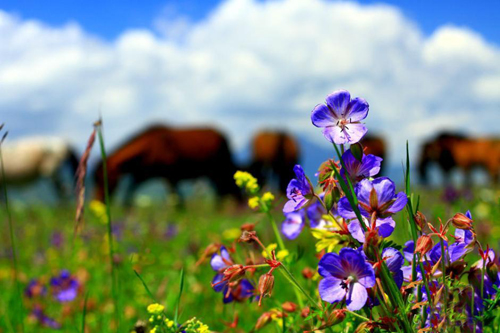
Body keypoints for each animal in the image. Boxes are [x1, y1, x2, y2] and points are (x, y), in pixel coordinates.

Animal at [94, 124, 242, 204]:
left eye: (103, 179)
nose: (98, 200)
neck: (150, 146)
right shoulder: (143, 175)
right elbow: (130, 190)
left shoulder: (170, 176)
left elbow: (178, 200)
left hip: (219, 170)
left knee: (224, 190)